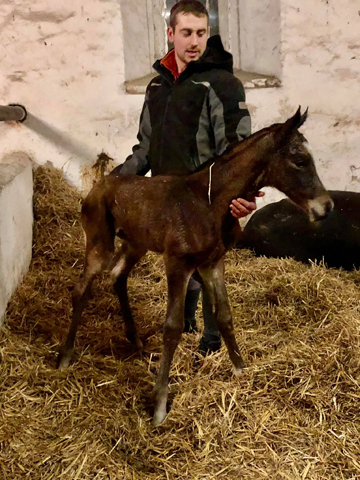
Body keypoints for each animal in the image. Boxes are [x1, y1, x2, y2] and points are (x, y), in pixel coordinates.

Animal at [58, 108, 332, 424]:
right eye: (300, 161)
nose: (327, 207)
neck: (209, 202)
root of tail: (97, 186)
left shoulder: (213, 263)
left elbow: (224, 316)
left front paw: (241, 373)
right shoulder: (178, 263)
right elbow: (173, 326)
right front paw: (160, 406)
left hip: (136, 243)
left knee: (118, 275)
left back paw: (135, 342)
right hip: (100, 243)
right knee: (81, 288)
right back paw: (65, 356)